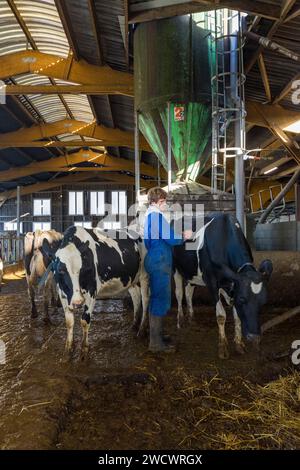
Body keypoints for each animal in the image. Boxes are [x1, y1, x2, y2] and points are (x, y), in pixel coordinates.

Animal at [41, 225, 149, 356]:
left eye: (82, 269)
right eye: (61, 270)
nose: (78, 302)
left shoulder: (91, 291)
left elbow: (84, 320)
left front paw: (84, 348)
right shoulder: (63, 293)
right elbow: (69, 321)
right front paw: (69, 348)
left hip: (145, 276)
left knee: (145, 300)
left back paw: (142, 330)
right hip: (131, 279)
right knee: (136, 297)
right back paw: (134, 325)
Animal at [172, 213, 274, 360]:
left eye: (263, 302)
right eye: (243, 299)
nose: (254, 337)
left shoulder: (233, 287)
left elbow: (237, 316)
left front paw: (239, 344)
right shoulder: (212, 282)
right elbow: (221, 315)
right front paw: (223, 347)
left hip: (191, 272)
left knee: (188, 292)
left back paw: (191, 318)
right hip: (175, 268)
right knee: (179, 293)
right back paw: (180, 321)